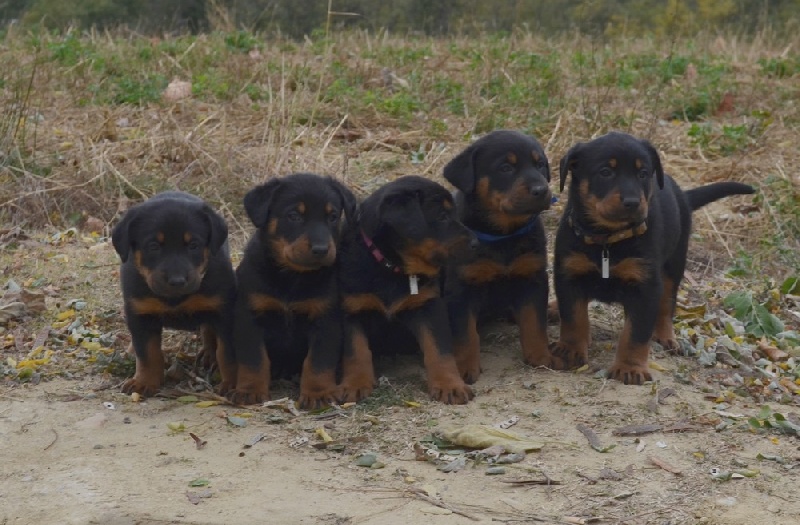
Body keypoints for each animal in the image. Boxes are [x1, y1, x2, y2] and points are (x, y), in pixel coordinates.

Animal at [112, 192, 238, 398]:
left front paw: (235, 383)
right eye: (153, 246)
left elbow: (228, 353)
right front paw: (143, 382)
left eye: (193, 245)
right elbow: (147, 353)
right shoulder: (140, 313)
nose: (177, 281)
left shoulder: (224, 312)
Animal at [231, 174, 356, 408]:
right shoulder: (249, 316)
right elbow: (254, 359)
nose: (321, 249)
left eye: (333, 216)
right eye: (294, 216)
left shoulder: (326, 319)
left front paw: (318, 393)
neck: (292, 277)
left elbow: (318, 361)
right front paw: (250, 390)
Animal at [336, 174, 476, 404]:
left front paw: (450, 385)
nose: (477, 242)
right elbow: (356, 351)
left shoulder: (428, 305)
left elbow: (439, 351)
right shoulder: (352, 308)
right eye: (442, 216)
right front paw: (355, 384)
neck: (392, 268)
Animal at [444, 130, 564, 384]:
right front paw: (465, 369)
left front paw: (541, 357)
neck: (503, 236)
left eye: (540, 165)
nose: (541, 190)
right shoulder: (460, 288)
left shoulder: (532, 277)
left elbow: (533, 322)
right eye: (506, 168)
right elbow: (466, 334)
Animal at [552, 131, 752, 382]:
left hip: (674, 265)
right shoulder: (569, 273)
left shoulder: (645, 285)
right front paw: (570, 350)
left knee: (667, 304)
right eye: (605, 172)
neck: (608, 239)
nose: (632, 202)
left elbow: (636, 332)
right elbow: (573, 318)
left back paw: (665, 336)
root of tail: (682, 195)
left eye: (643, 174)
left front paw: (630, 368)